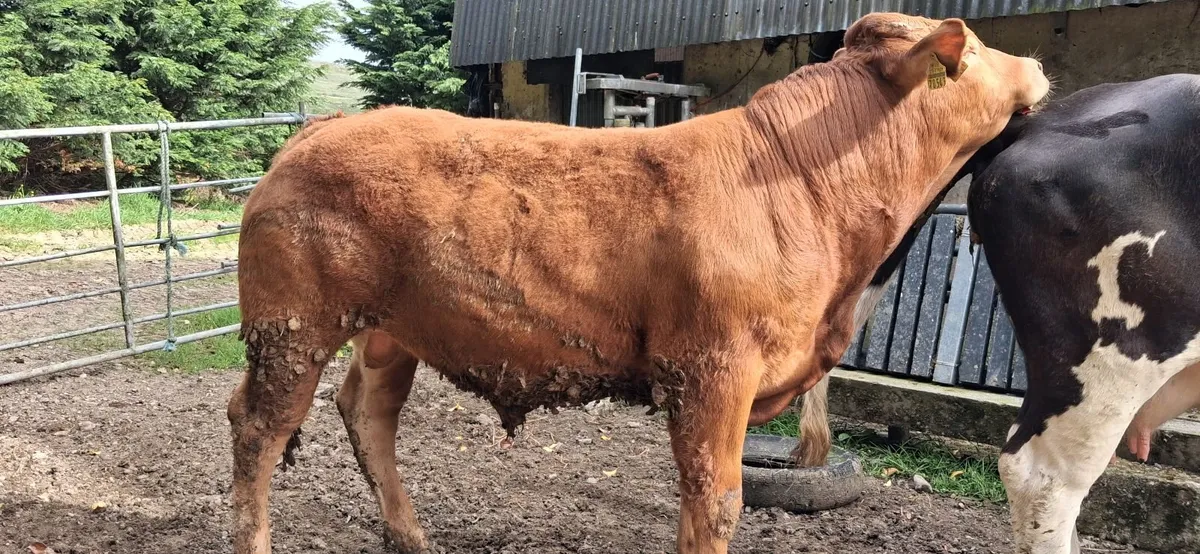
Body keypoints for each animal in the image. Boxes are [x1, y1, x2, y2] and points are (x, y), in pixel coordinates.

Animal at [226, 13, 1049, 554]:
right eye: (973, 49)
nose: (1039, 66)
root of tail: (324, 126)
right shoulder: (713, 368)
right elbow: (715, 500)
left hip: (391, 328)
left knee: (367, 412)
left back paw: (413, 537)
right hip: (293, 324)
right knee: (259, 428)